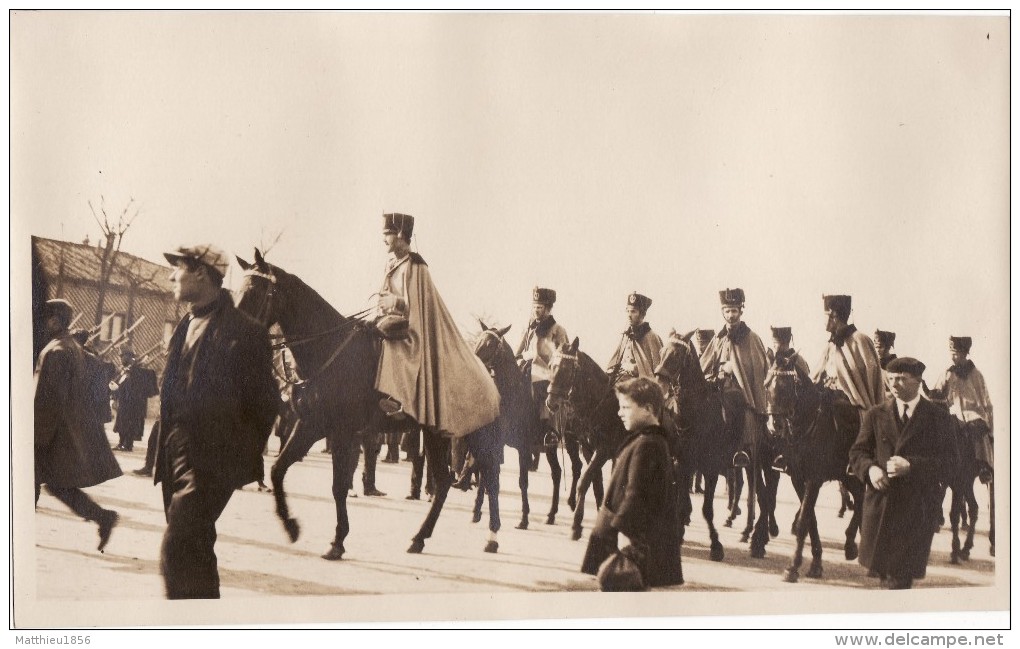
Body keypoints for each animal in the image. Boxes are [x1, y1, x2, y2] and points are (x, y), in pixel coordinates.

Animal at [235, 247, 497, 559]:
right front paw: (291, 526)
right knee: (447, 481)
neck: (328, 351)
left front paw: (337, 541)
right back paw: (421, 538)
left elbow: (338, 485)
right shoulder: (310, 425)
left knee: (480, 479)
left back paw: (476, 535)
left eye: (256, 292)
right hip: (439, 435)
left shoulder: (341, 432)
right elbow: (278, 470)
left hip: (455, 435)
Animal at [546, 338, 624, 542]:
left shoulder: (603, 450)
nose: (551, 403)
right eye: (550, 365)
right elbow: (596, 484)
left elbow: (585, 480)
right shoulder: (589, 449)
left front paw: (575, 525)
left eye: (566, 369)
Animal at [767, 355, 864, 583]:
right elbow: (810, 519)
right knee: (859, 496)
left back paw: (851, 544)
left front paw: (792, 567)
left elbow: (804, 520)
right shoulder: (798, 478)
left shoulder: (814, 479)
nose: (775, 425)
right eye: (767, 385)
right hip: (846, 476)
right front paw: (816, 563)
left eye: (787, 387)